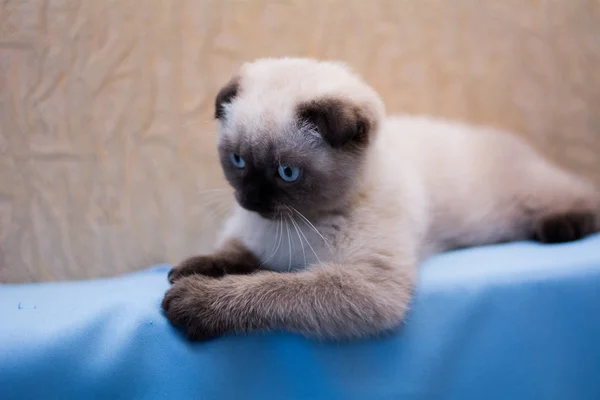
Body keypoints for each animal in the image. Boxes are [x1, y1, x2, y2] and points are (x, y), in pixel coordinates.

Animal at [163, 57, 600, 340]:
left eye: (287, 173)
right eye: (237, 160)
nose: (251, 199)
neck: (296, 224)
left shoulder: (364, 285)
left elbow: (271, 288)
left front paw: (191, 301)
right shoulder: (253, 239)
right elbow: (232, 255)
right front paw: (188, 269)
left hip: (529, 198)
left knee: (584, 195)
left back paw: (560, 227)